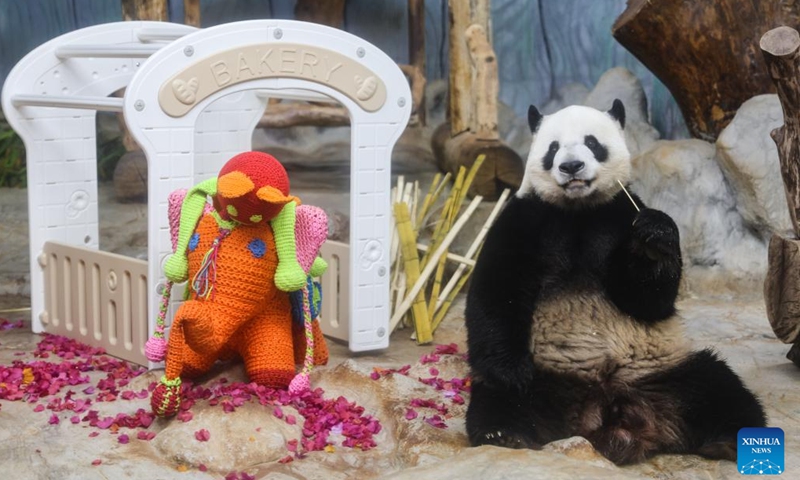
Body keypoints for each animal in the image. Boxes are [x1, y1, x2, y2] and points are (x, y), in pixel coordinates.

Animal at [466, 100, 764, 464]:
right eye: (553, 148)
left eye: (592, 142)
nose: (571, 166)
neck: (579, 209)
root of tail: (609, 416)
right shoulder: (526, 218)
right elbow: (497, 289)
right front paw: (512, 373)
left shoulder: (618, 215)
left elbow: (647, 299)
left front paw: (654, 237)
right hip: (550, 376)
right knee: (498, 402)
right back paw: (505, 434)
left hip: (664, 369)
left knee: (718, 388)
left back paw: (730, 440)